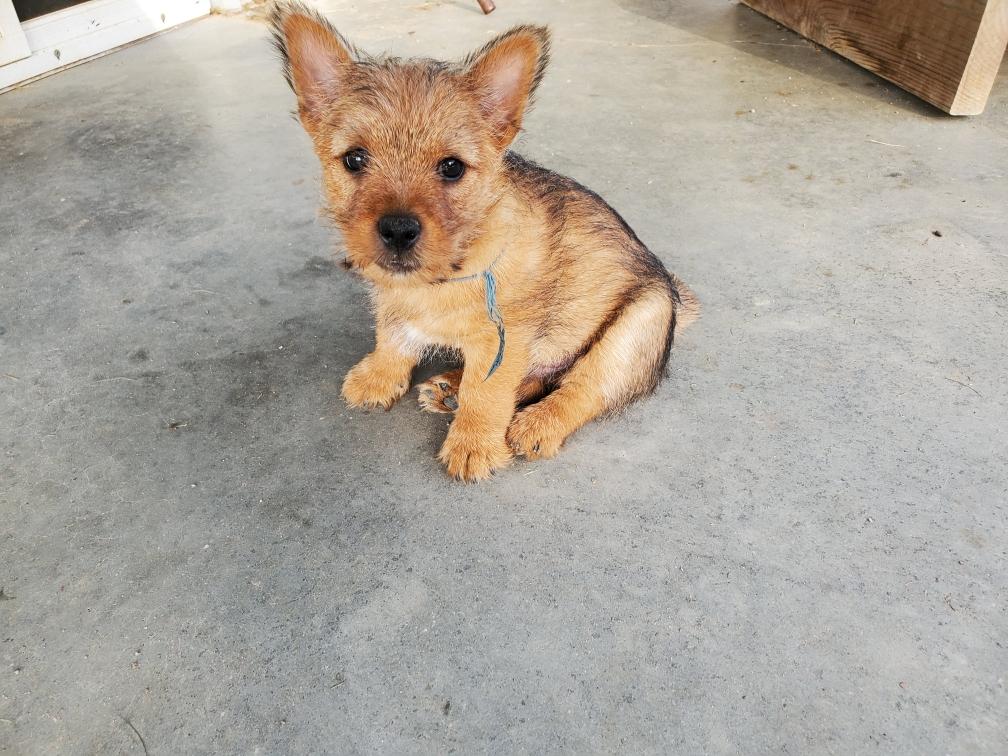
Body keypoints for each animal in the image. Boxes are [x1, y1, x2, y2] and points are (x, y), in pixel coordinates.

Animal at [269, 2, 699, 481]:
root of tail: (675, 296)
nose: (397, 229)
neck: (447, 274)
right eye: (354, 159)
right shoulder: (398, 302)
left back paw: (537, 423)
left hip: (637, 328)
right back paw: (450, 387)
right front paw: (378, 377)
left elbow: (489, 391)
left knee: (583, 386)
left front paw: (473, 445)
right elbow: (393, 335)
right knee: (537, 375)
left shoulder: (505, 336)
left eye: (452, 167)